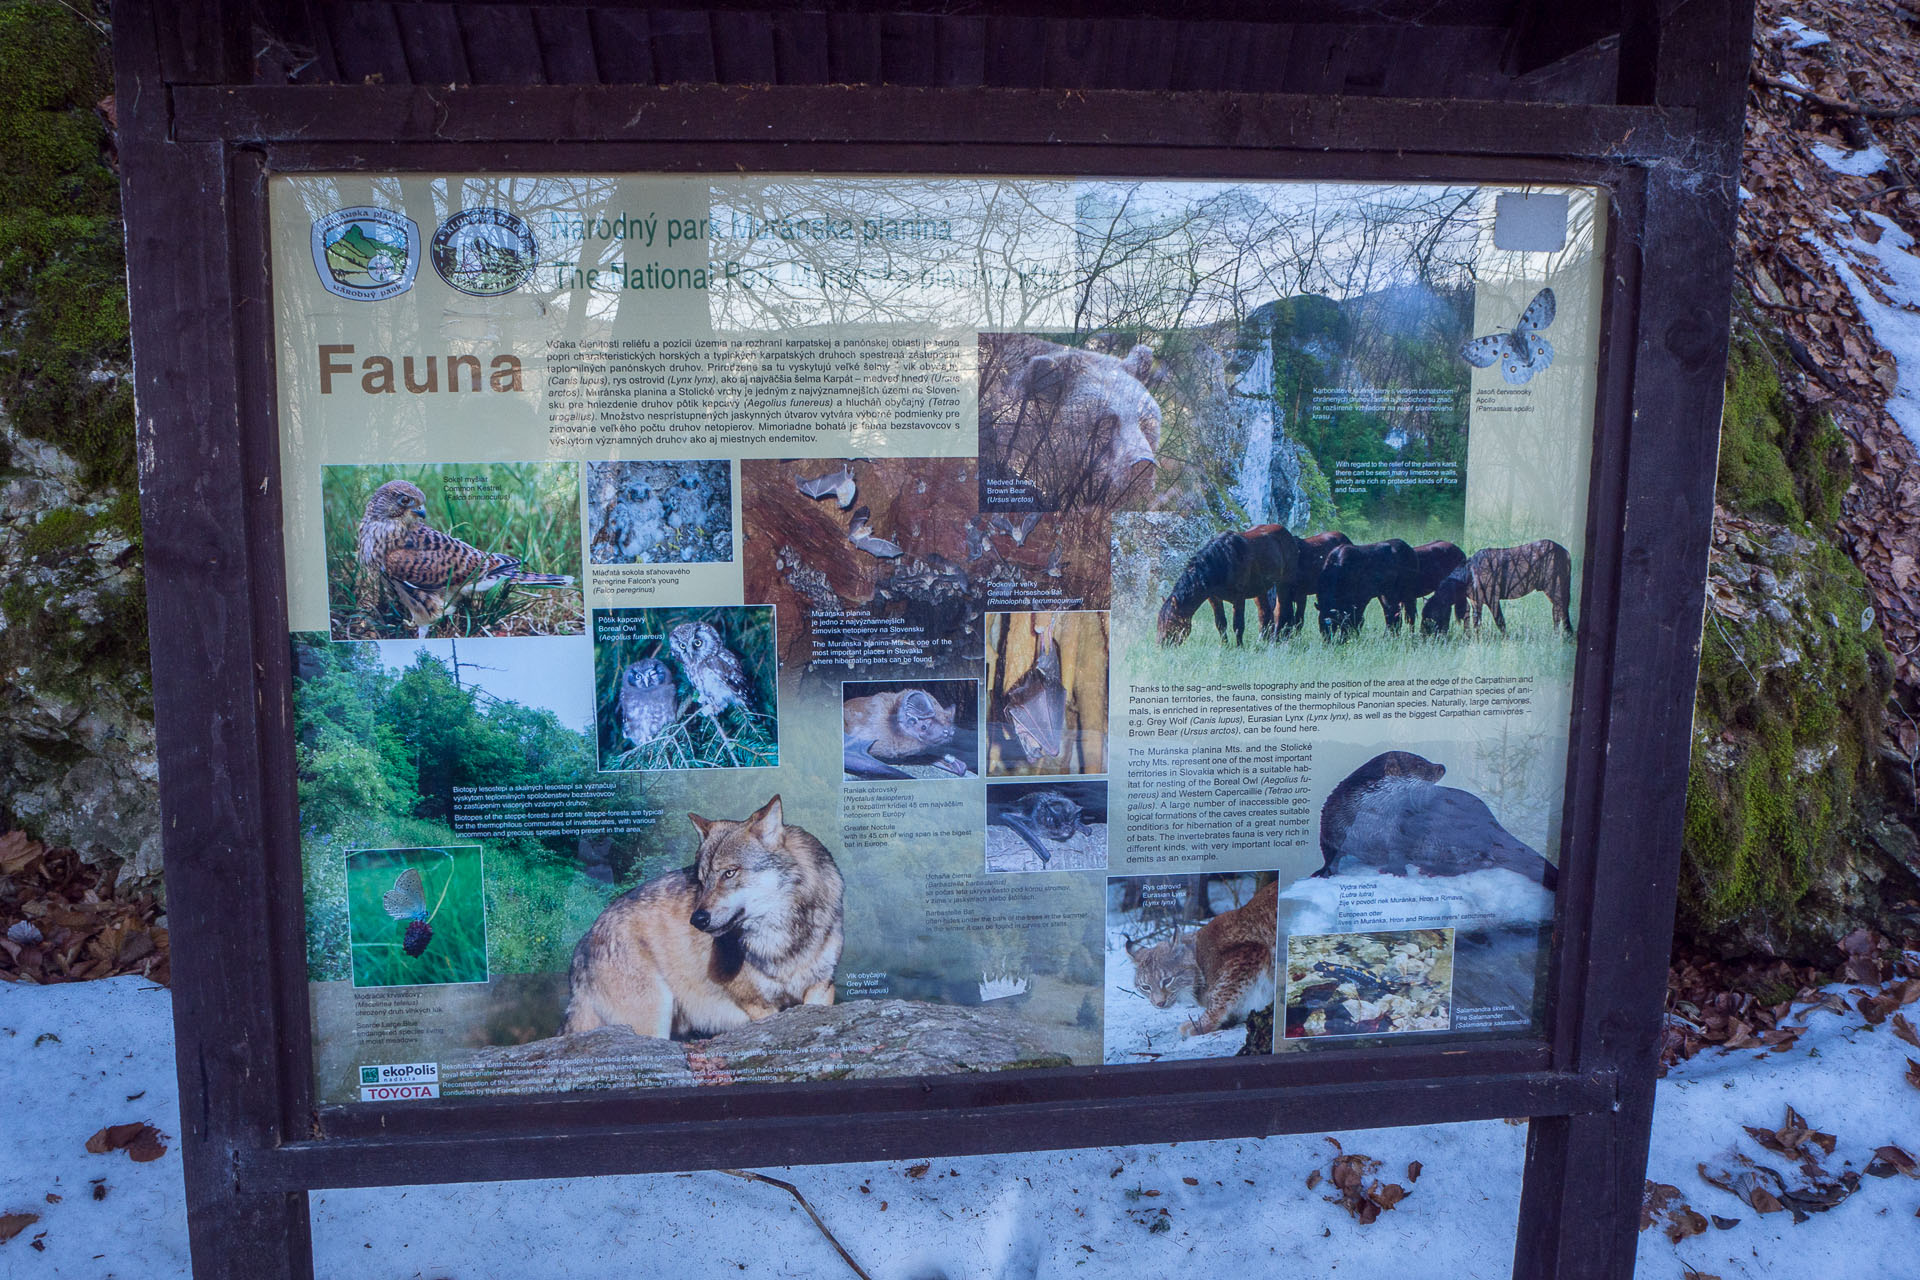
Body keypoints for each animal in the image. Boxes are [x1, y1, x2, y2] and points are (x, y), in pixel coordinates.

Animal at [1152, 521, 1305, 644]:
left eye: (1171, 620)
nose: (1161, 645)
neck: (1223, 561)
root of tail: (1289, 535)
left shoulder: (1239, 599)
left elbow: (1238, 625)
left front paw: (1239, 646)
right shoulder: (1214, 598)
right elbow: (1221, 624)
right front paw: (1225, 645)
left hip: (1284, 584)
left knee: (1284, 611)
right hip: (1261, 590)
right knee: (1265, 614)